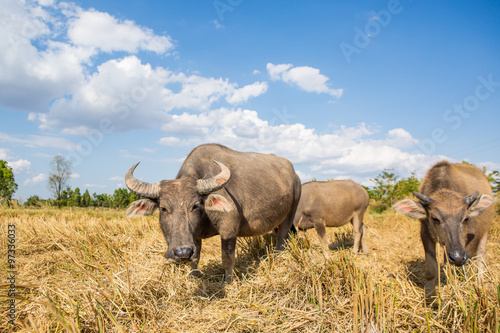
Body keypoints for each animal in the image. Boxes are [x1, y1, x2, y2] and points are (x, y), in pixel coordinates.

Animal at [124, 144, 300, 282]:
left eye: (195, 205)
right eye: (163, 208)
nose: (182, 252)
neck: (204, 216)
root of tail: (295, 175)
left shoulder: (229, 230)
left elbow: (227, 259)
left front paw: (228, 283)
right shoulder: (194, 238)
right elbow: (194, 260)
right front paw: (192, 278)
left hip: (291, 212)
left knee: (281, 239)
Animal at [392, 160, 494, 296]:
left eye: (465, 218)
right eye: (435, 218)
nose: (457, 256)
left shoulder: (473, 236)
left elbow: (468, 266)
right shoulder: (426, 234)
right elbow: (431, 269)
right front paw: (430, 294)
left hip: (485, 231)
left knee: (481, 256)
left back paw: (480, 280)